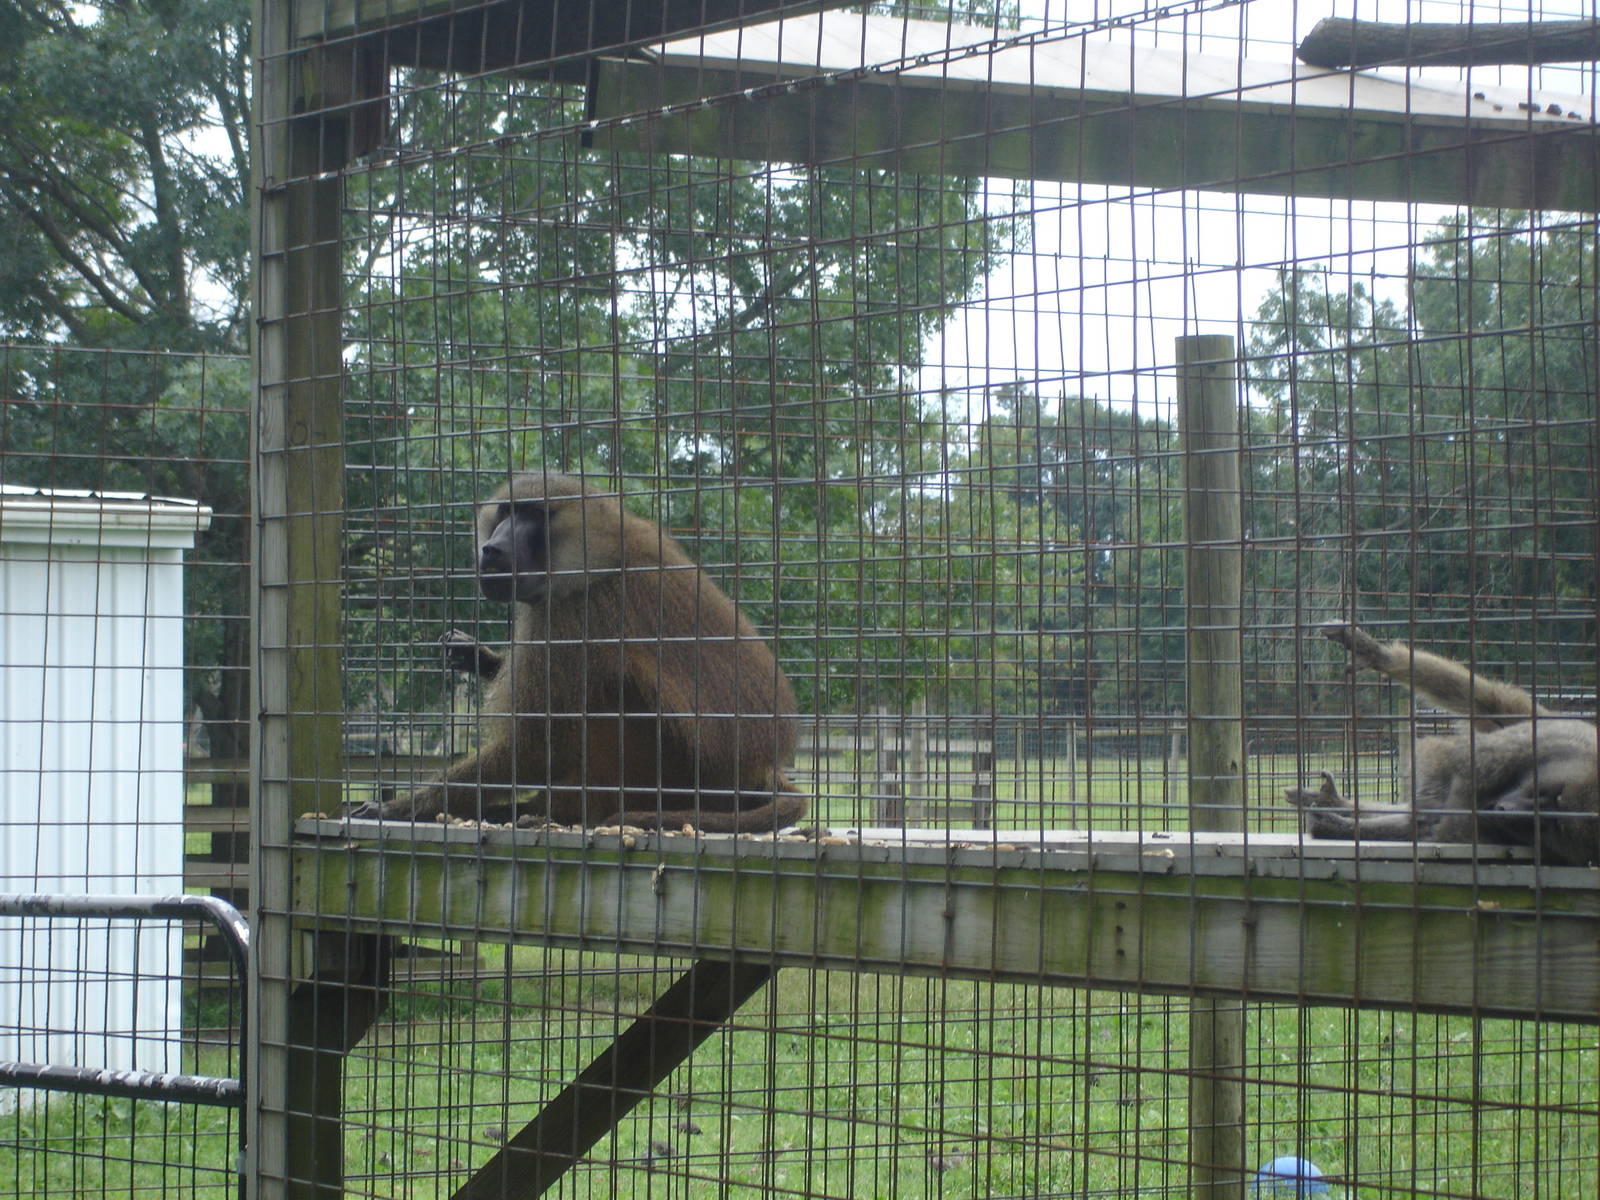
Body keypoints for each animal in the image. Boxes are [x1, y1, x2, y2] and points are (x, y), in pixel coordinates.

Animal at [352, 472, 806, 832]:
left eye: (535, 516)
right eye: (506, 512)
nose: (491, 549)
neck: (598, 559)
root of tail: (754, 772)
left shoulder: (572, 617)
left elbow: (536, 744)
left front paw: (399, 807)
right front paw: (477, 657)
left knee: (609, 694)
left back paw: (547, 813)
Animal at [1285, 624, 1599, 867]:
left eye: (1552, 825)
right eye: (1550, 793)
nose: (1502, 809)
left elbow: (1431, 824)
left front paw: (1336, 825)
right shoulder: (1540, 743)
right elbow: (1446, 762)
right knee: (1488, 704)